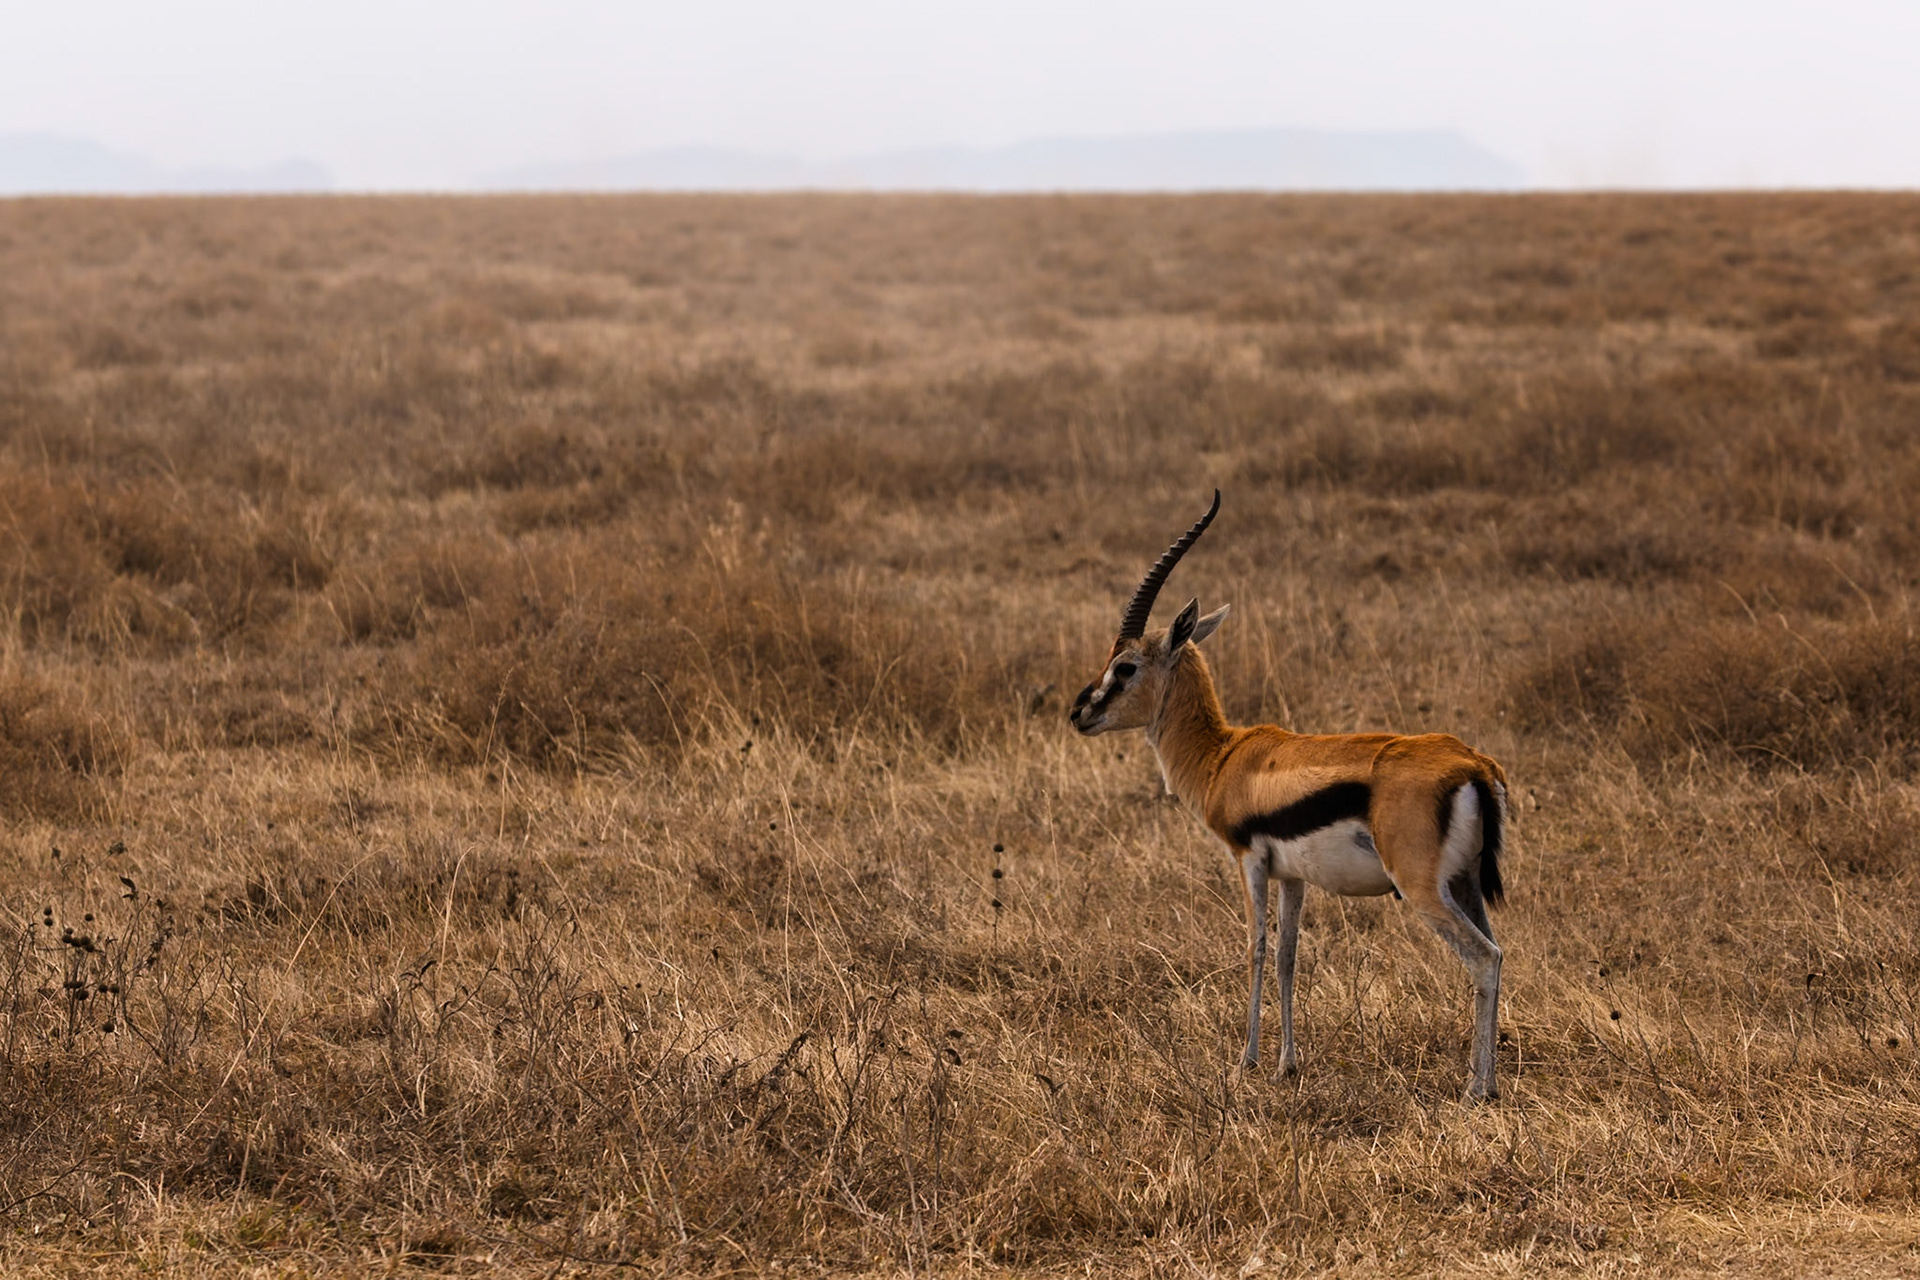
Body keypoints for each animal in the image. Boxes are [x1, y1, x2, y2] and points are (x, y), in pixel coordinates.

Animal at [1069, 492, 1510, 1101]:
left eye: (1125, 666)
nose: (1079, 712)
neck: (1223, 757)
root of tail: (1473, 763)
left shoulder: (1248, 860)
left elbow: (1254, 948)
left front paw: (1247, 1061)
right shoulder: (1293, 876)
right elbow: (1287, 956)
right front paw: (1286, 1065)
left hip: (1423, 890)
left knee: (1483, 959)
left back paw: (1477, 1089)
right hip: (1465, 884)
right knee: (1498, 953)